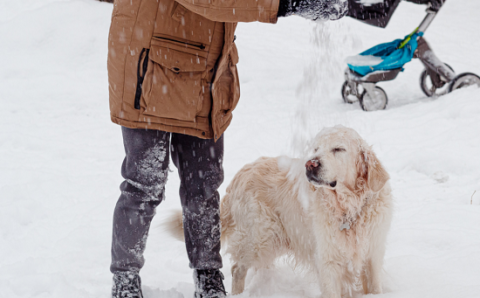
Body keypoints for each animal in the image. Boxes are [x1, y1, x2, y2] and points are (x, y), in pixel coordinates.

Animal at [167, 125, 392, 298]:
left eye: (338, 149)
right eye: (316, 148)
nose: (310, 164)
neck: (348, 208)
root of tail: (240, 174)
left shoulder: (372, 255)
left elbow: (374, 287)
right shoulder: (328, 260)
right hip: (259, 237)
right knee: (237, 268)